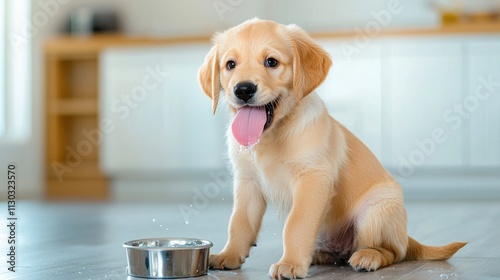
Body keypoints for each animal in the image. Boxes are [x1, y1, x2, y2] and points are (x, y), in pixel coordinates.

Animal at [197, 18, 466, 278]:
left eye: (271, 62)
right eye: (230, 65)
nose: (243, 89)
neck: (271, 135)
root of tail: (405, 236)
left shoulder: (313, 178)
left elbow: (296, 224)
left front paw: (290, 264)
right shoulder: (247, 181)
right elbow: (239, 222)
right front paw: (230, 255)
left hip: (376, 211)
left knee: (392, 252)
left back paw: (367, 256)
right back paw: (319, 255)